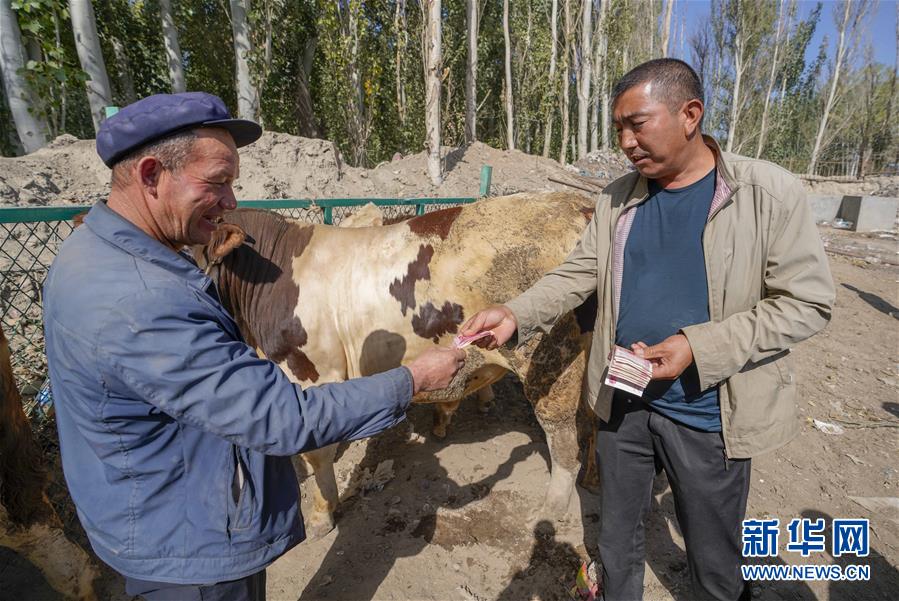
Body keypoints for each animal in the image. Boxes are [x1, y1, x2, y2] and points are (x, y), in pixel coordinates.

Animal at [200, 191, 600, 536]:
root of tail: (574, 202)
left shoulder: (311, 372)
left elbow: (318, 454)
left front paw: (320, 515)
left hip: (551, 362)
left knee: (563, 440)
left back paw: (549, 513)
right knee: (593, 420)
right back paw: (592, 479)